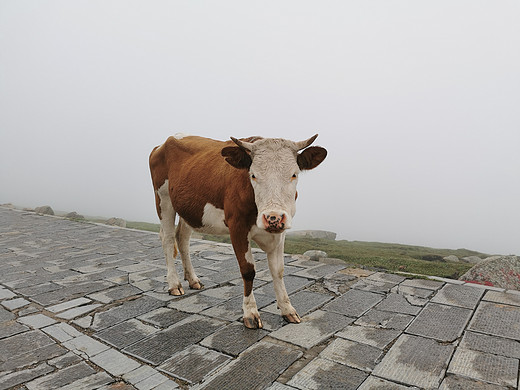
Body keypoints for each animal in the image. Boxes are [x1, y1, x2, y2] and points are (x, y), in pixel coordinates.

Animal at [148, 133, 324, 326]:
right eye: (253, 175)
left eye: (294, 174)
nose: (273, 217)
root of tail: (165, 142)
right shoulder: (237, 226)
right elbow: (248, 271)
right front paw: (250, 312)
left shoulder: (280, 231)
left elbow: (278, 270)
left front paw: (287, 309)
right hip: (163, 199)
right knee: (168, 238)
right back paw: (174, 284)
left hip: (189, 209)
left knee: (182, 238)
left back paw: (193, 279)